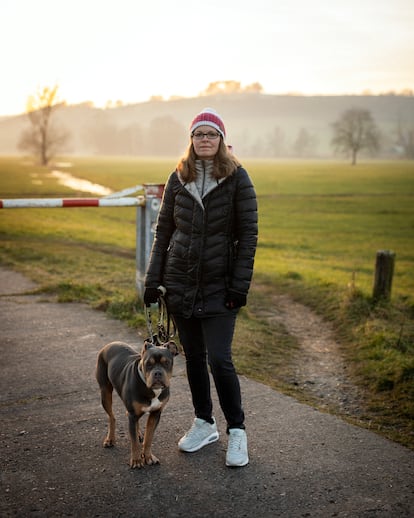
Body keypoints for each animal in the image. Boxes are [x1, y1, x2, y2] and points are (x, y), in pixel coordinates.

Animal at [96, 342, 179, 472]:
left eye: (166, 362)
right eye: (148, 364)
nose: (158, 373)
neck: (152, 390)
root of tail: (110, 344)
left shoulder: (155, 414)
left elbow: (149, 438)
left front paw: (148, 456)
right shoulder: (133, 414)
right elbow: (134, 442)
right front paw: (136, 460)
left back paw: (138, 432)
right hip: (105, 393)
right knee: (111, 417)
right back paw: (110, 439)